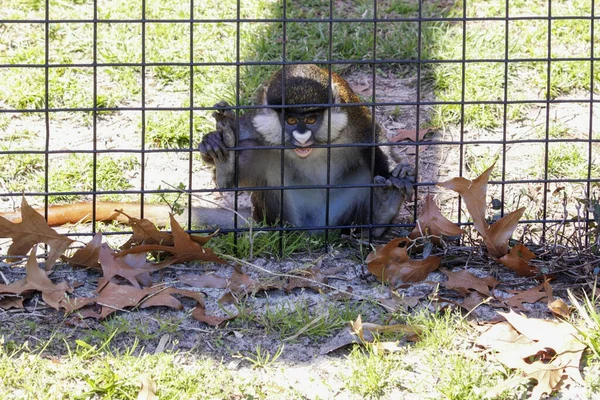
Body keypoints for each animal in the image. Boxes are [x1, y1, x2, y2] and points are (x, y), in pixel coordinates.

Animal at [197, 64, 412, 236]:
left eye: (311, 119)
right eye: (291, 120)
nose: (302, 136)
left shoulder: (353, 117)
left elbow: (373, 136)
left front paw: (397, 172)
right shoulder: (257, 120)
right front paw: (212, 141)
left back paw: (382, 213)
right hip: (281, 213)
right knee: (253, 149)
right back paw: (226, 168)